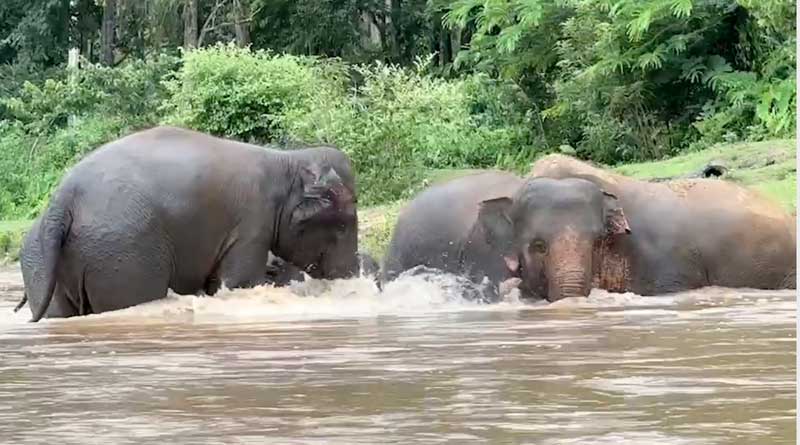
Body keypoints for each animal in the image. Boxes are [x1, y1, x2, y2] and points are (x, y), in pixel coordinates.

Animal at [18, 126, 368, 320]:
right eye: (343, 225)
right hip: (122, 251)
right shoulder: (252, 222)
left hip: (46, 257)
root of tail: (62, 199)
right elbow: (240, 283)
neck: (288, 160)